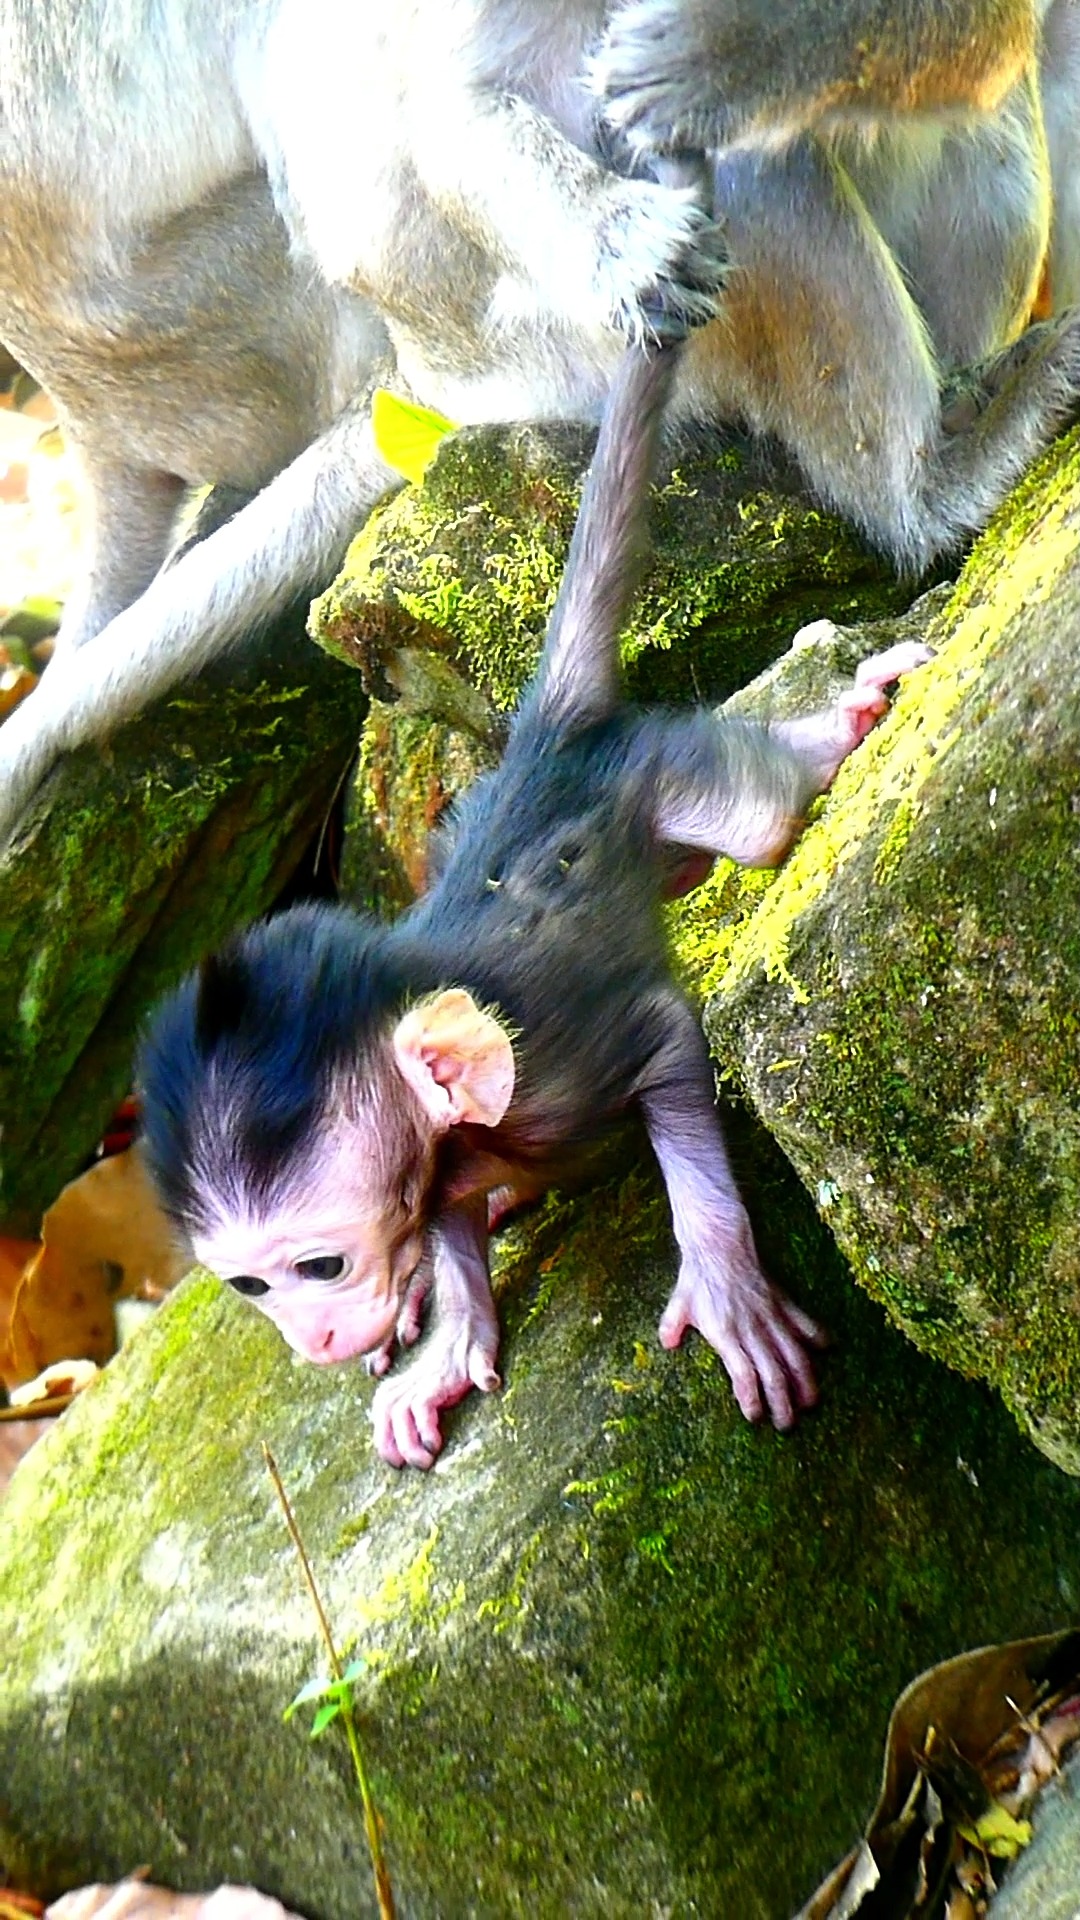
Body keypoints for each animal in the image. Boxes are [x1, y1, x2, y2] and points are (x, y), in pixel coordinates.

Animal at [0, 0, 1076, 846]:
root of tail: (436, 372)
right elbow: (461, 100)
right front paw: (633, 233)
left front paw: (738, 46)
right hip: (560, 339)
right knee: (747, 165)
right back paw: (925, 487)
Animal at [136, 282, 930, 1469]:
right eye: (250, 1287)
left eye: (319, 1265)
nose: (313, 1339)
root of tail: (536, 748)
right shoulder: (438, 1169)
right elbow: (447, 1229)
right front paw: (452, 1333)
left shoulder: (560, 1061)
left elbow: (666, 1043)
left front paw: (722, 1278)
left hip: (657, 771)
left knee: (756, 821)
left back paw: (836, 724)